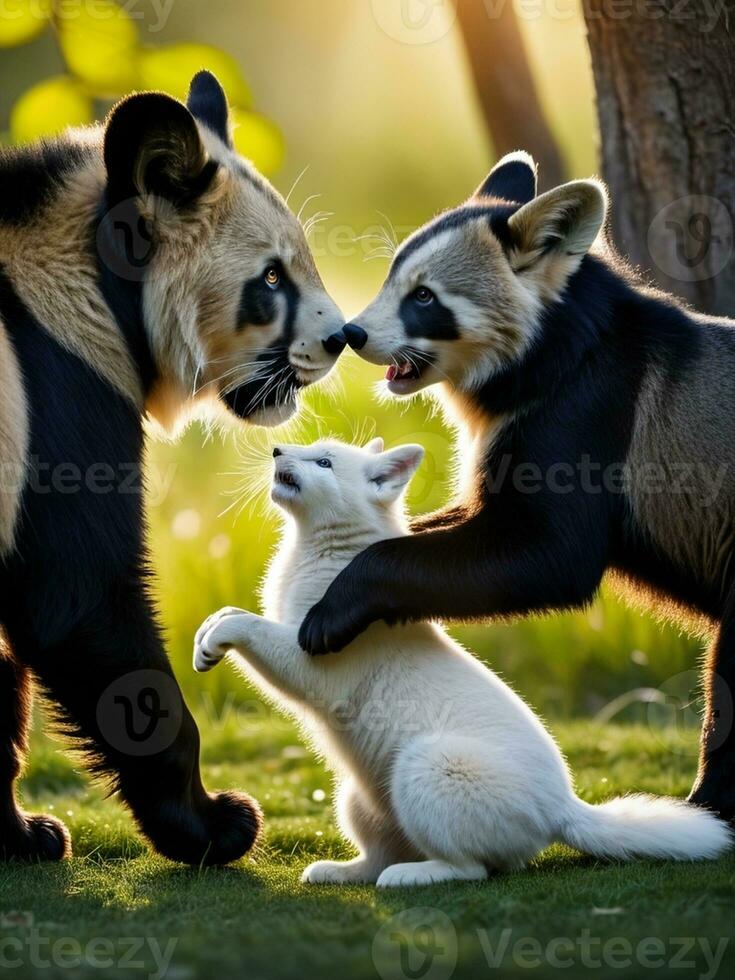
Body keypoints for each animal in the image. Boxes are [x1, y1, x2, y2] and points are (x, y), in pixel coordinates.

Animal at [193, 440, 732, 884]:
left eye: (324, 462)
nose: (278, 449)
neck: (324, 552)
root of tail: (564, 810)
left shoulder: (311, 662)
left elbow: (250, 625)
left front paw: (219, 636)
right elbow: (233, 612)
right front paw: (204, 637)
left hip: (428, 766)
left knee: (469, 869)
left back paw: (413, 876)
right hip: (358, 797)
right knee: (384, 855)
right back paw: (344, 871)